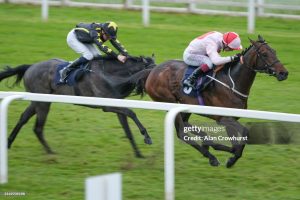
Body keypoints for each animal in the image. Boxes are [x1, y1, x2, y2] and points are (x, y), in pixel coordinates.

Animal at [132, 35, 288, 167]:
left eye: (274, 51)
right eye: (264, 54)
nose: (284, 73)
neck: (232, 82)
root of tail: (152, 71)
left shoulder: (231, 118)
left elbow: (240, 139)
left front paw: (228, 154)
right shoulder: (224, 118)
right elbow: (241, 137)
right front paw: (229, 157)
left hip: (184, 104)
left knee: (186, 125)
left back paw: (208, 148)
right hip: (169, 101)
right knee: (182, 133)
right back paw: (210, 153)